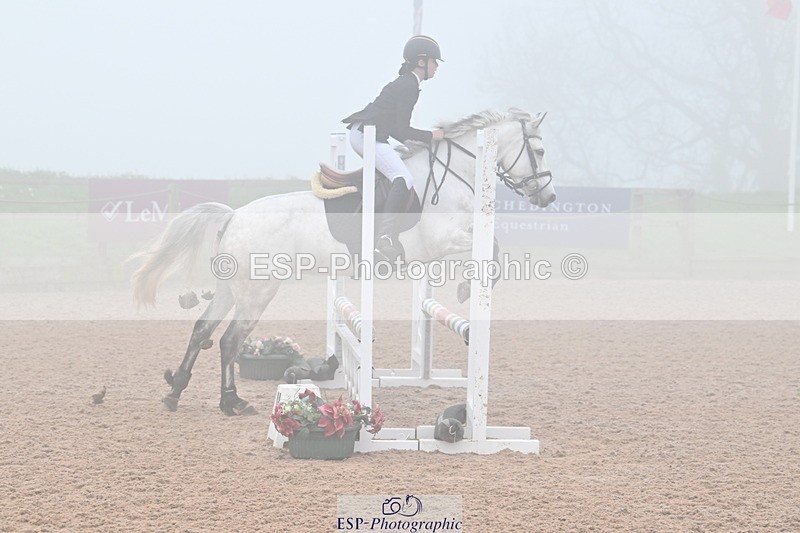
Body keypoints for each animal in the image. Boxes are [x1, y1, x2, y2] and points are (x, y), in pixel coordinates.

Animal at [130, 108, 556, 415]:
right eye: (539, 151)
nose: (548, 197)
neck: (454, 175)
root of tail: (233, 216)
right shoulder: (445, 238)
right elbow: (494, 247)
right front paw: (470, 286)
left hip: (229, 289)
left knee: (202, 330)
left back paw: (175, 392)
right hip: (256, 292)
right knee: (229, 341)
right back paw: (231, 402)